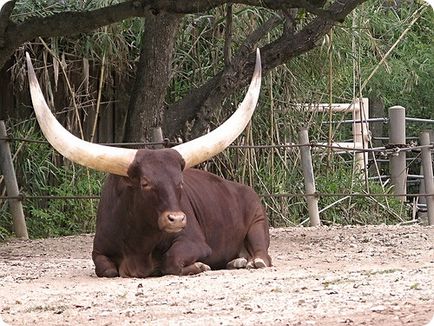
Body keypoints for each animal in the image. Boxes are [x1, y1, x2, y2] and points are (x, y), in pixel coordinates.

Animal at [25, 49, 272, 278]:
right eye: (145, 183)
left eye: (180, 183)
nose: (176, 219)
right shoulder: (99, 251)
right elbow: (106, 269)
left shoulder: (195, 242)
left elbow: (172, 261)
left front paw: (199, 265)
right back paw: (236, 261)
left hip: (258, 220)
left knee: (262, 254)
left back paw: (250, 261)